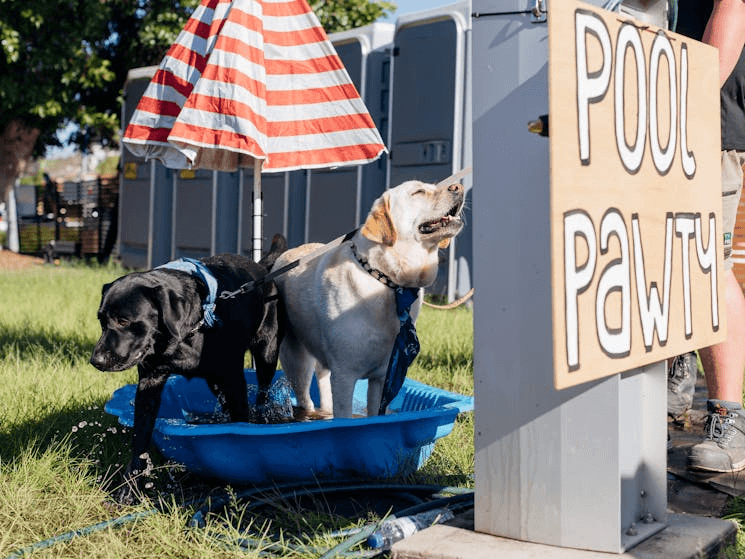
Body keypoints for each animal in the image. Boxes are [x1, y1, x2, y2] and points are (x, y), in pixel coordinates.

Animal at [88, 236, 284, 504]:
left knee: (262, 393)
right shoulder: (149, 383)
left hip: (266, 353)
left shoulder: (234, 379)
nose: (96, 360)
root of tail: (262, 268)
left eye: (124, 321)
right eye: (101, 320)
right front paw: (128, 491)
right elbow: (140, 440)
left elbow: (241, 426)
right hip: (215, 380)